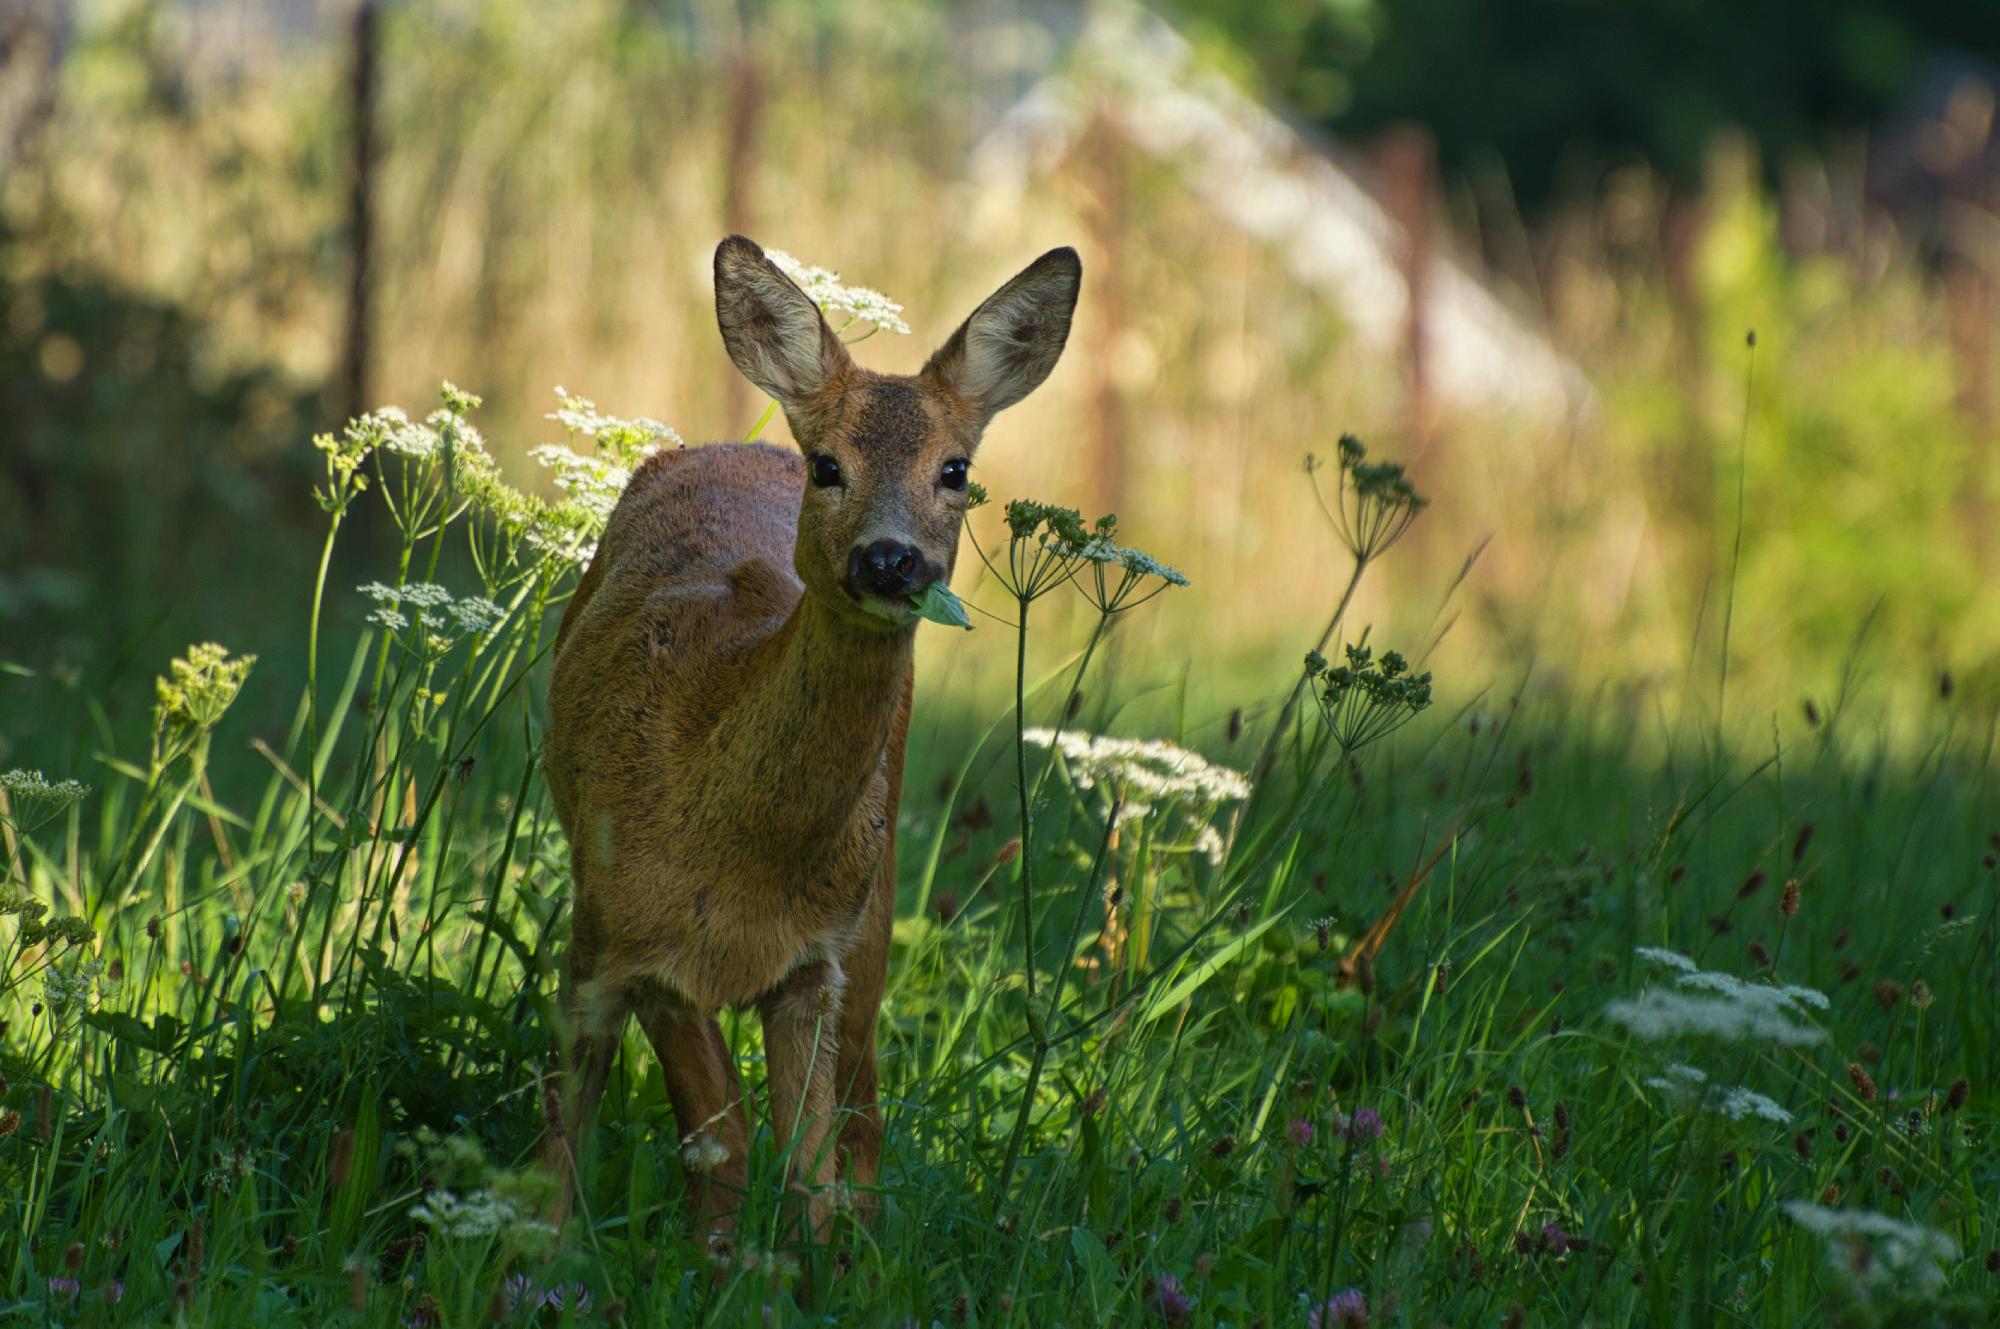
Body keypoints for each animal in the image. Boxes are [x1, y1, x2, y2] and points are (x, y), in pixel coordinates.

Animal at [540, 236, 1080, 1232]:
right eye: (828, 464)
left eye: (956, 470)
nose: (891, 558)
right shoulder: (627, 929)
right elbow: (696, 1136)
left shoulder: (812, 962)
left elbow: (802, 1169)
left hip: (874, 899)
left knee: (862, 1111)